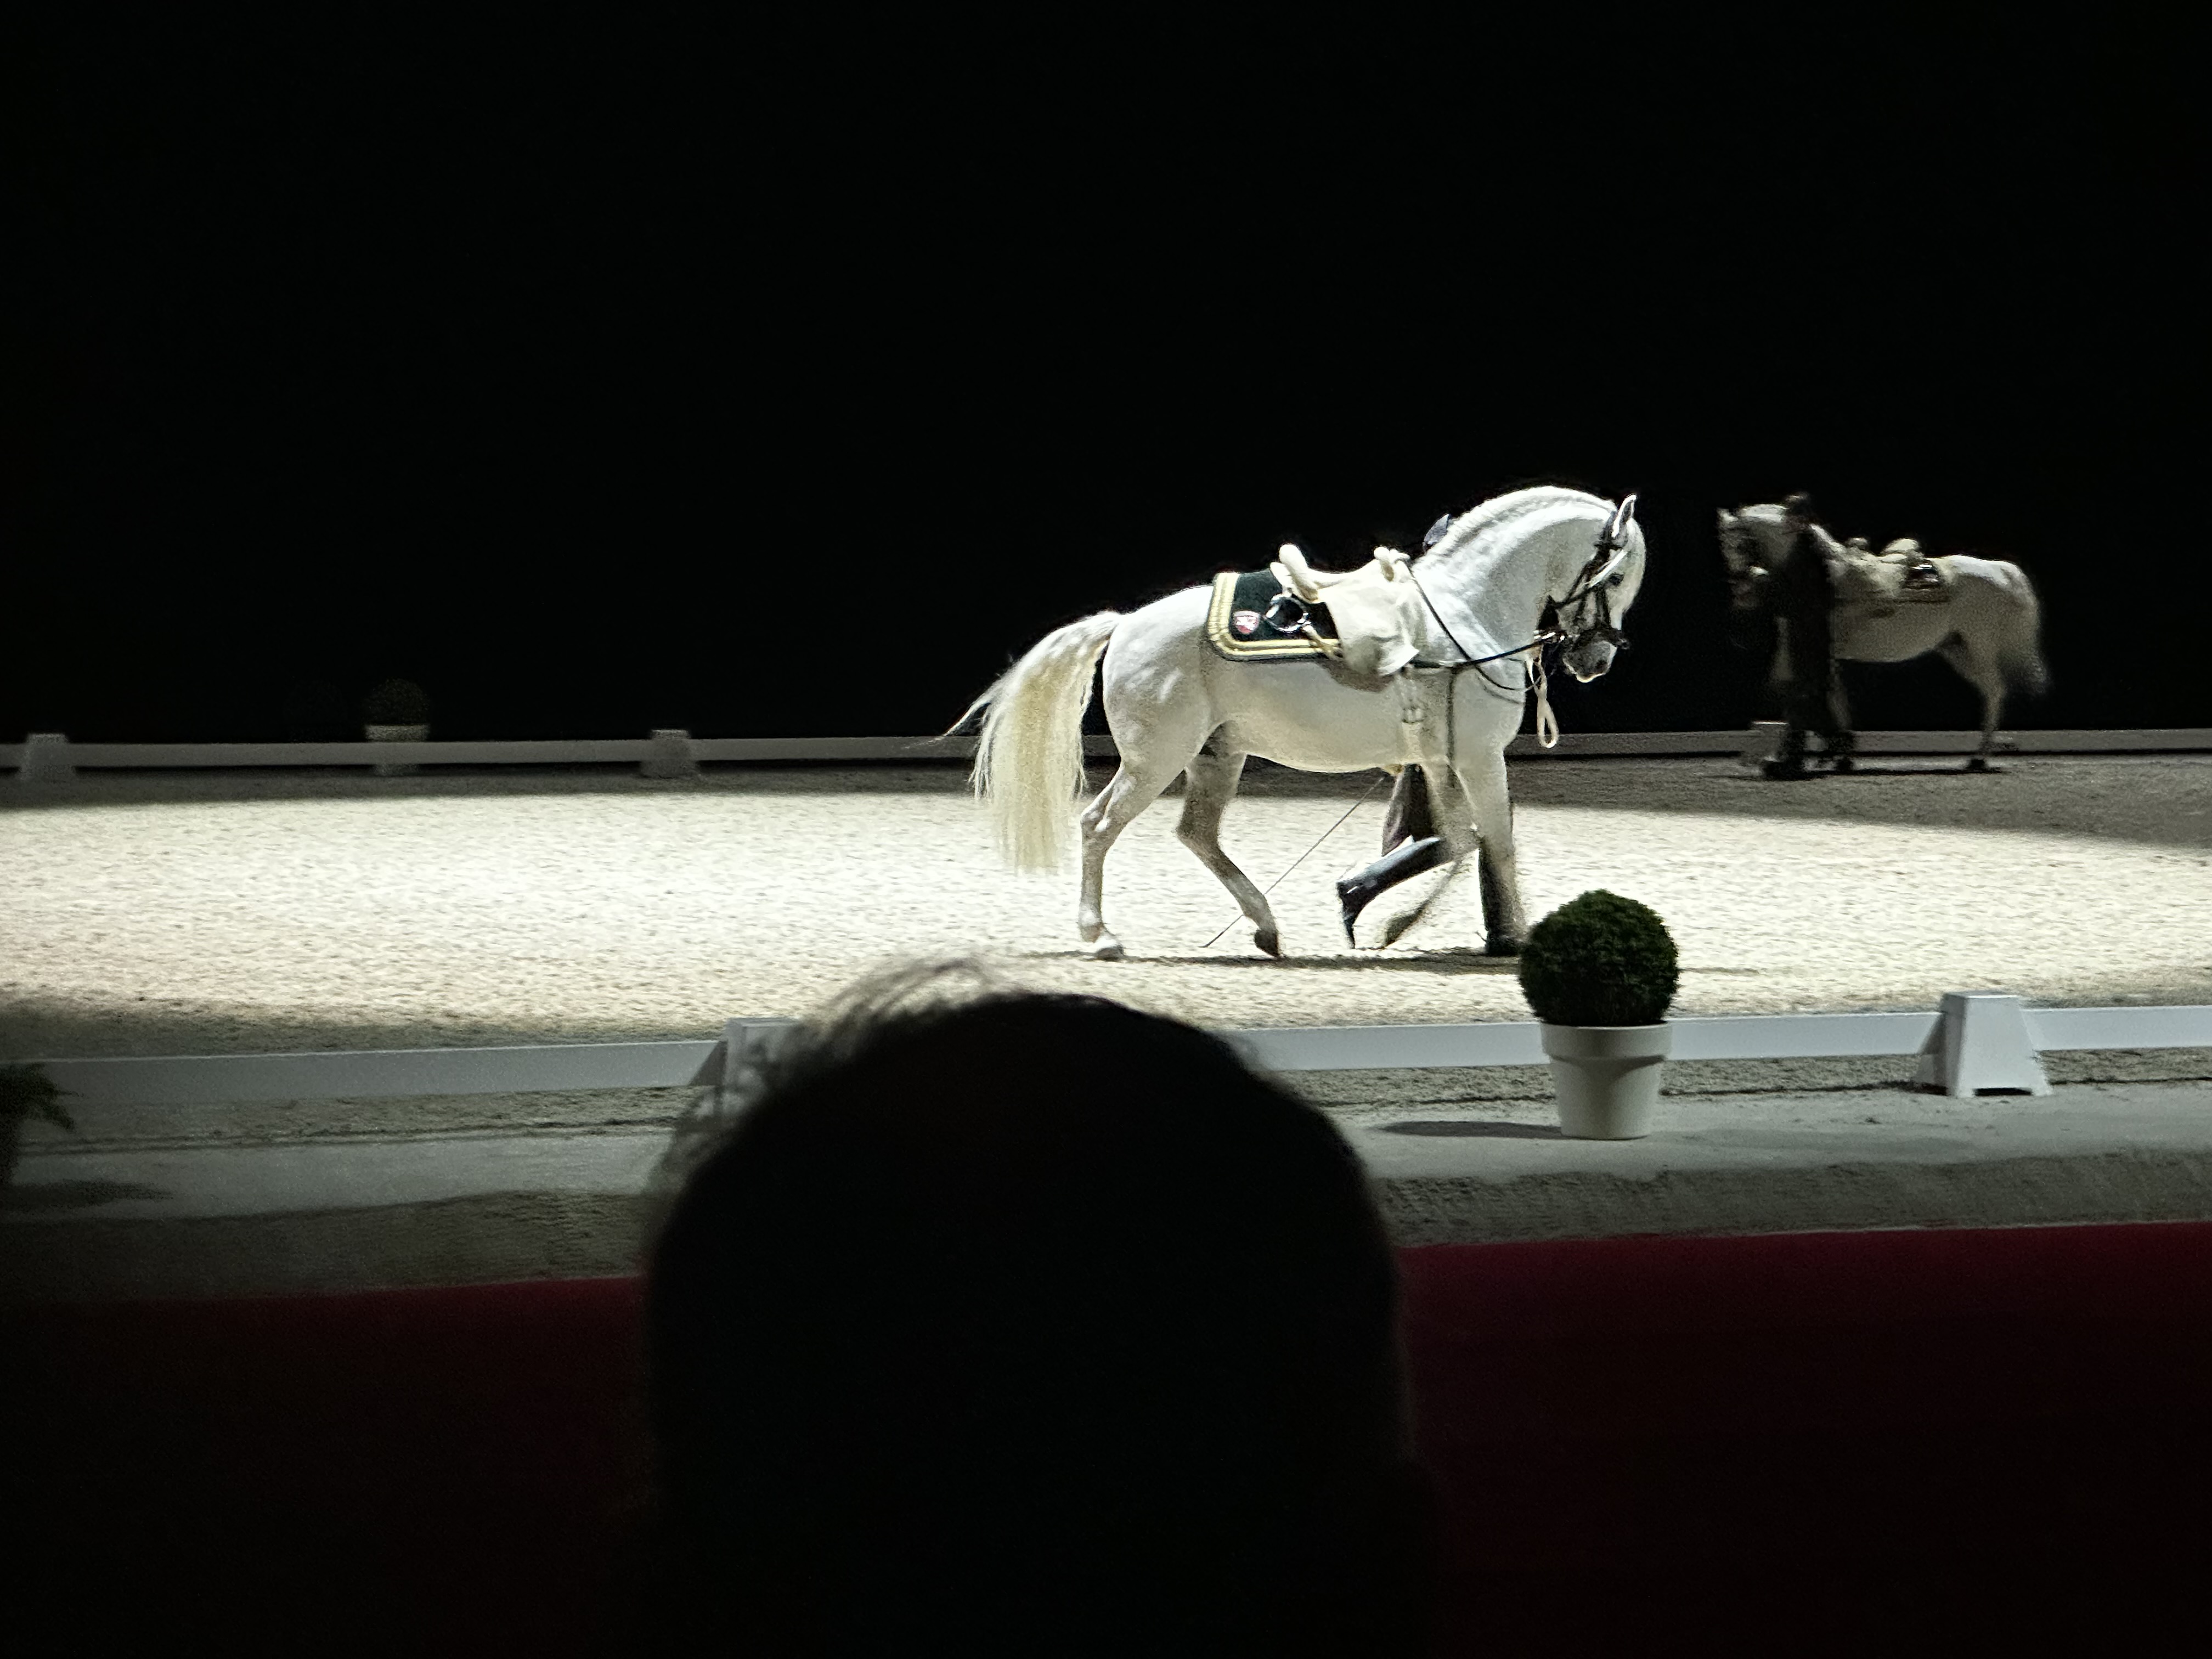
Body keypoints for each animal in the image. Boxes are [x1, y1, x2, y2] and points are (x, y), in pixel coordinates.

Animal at [959, 486, 1648, 960]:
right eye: (1616, 575)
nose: (1598, 659)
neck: (1467, 609)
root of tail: (1125, 621)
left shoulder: (1440, 761)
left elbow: (1460, 840)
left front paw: (1386, 909)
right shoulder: (1478, 758)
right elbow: (1492, 842)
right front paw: (1501, 934)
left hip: (1216, 756)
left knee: (1197, 834)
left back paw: (1265, 927)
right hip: (1156, 759)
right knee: (1100, 826)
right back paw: (1100, 936)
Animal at [1717, 500, 2047, 771]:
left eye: (1740, 543)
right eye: (1724, 545)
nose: (1741, 589)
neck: (1823, 579)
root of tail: (2003, 570)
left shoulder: (1806, 651)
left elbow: (1798, 695)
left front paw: (1790, 758)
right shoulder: (1822, 654)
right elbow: (1833, 698)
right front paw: (1841, 754)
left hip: (1980, 645)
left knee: (1994, 691)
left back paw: (1980, 757)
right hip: (1957, 648)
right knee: (1990, 691)